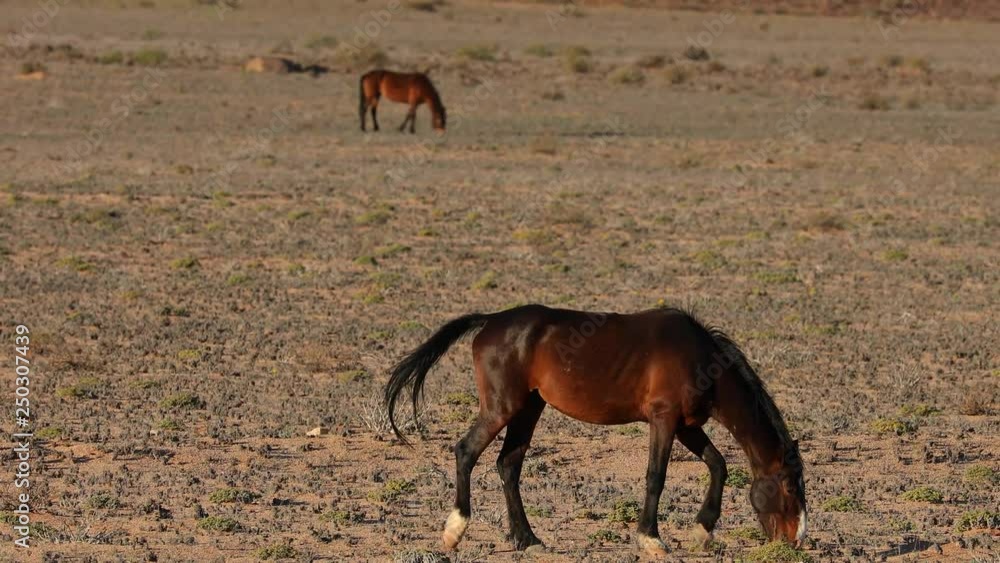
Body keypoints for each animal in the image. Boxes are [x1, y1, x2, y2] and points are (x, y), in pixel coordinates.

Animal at [384, 305, 807, 558]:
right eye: (789, 487)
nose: (795, 540)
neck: (701, 359)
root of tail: (490, 320)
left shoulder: (686, 426)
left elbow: (718, 465)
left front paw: (703, 530)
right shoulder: (664, 419)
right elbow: (656, 476)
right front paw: (651, 539)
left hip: (529, 408)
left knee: (508, 464)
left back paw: (527, 539)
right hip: (502, 407)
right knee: (466, 451)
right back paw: (454, 531)